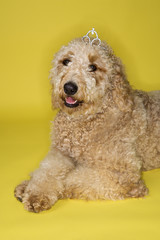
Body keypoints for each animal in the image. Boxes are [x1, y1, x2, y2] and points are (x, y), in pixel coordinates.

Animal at [14, 30, 160, 214]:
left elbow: (72, 178)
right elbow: (47, 171)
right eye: (66, 61)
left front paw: (32, 191)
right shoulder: (60, 152)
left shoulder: (123, 175)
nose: (69, 87)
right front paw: (32, 188)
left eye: (93, 67)